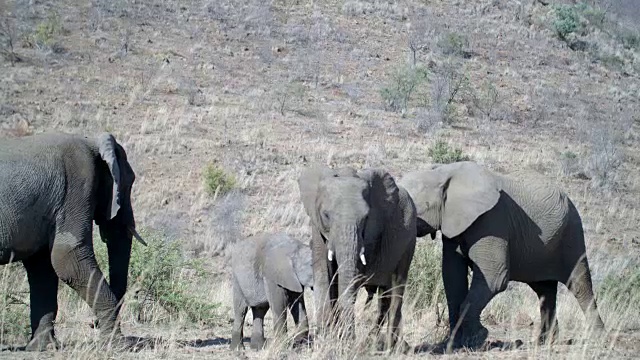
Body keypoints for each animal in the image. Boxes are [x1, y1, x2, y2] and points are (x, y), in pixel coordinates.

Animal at [0, 131, 146, 350]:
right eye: (129, 183)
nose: (92, 323)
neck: (92, 141)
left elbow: (43, 269)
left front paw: (44, 348)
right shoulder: (76, 184)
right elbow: (68, 260)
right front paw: (121, 346)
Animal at [298, 165, 418, 352]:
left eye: (366, 218)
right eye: (326, 215)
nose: (349, 340)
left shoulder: (370, 235)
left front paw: (342, 342)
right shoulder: (317, 228)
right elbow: (324, 274)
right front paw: (327, 340)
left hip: (409, 240)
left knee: (397, 288)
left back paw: (391, 348)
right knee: (385, 296)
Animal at [400, 161, 604, 352]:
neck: (441, 174)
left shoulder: (492, 221)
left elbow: (495, 278)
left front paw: (478, 338)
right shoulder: (453, 225)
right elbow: (452, 278)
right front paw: (453, 344)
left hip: (571, 232)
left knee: (579, 284)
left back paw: (596, 338)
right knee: (544, 291)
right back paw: (545, 342)